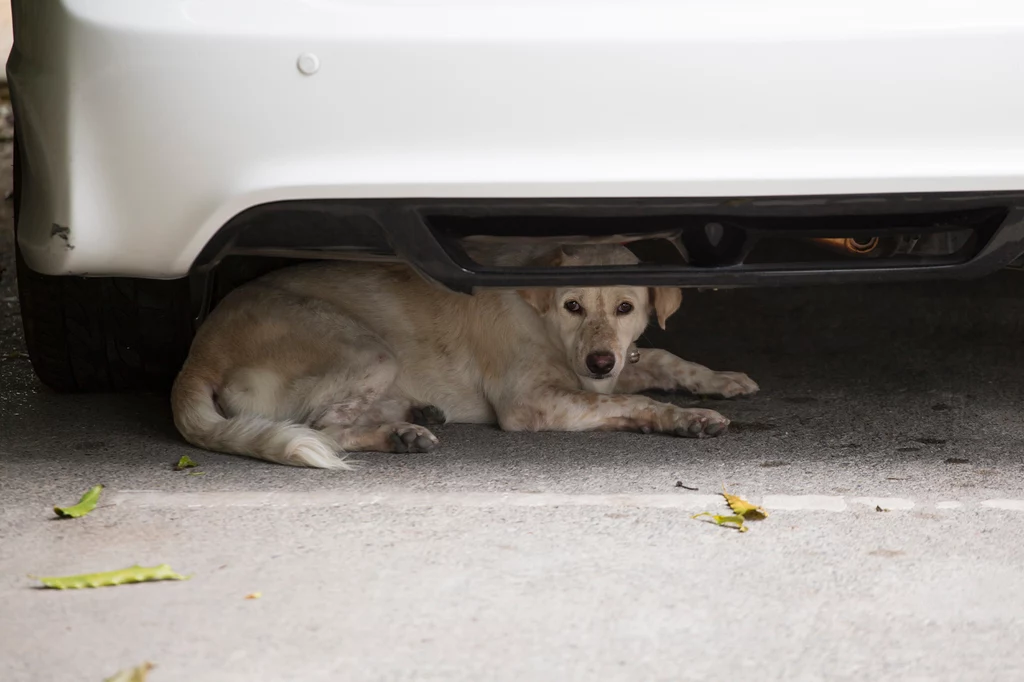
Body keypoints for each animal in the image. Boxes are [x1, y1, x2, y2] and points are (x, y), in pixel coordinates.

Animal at [172, 244, 757, 466]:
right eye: (572, 305)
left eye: (625, 306)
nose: (600, 362)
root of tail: (198, 351)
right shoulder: (533, 402)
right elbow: (629, 403)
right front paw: (685, 418)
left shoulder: (615, 365)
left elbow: (665, 359)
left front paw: (722, 379)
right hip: (367, 349)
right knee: (322, 425)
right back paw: (398, 434)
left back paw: (415, 417)